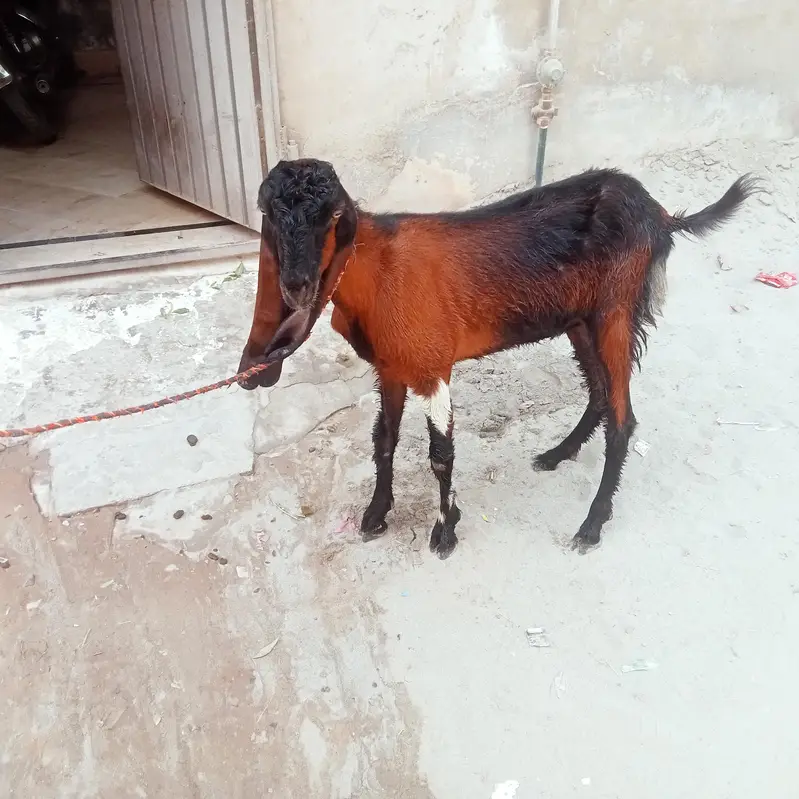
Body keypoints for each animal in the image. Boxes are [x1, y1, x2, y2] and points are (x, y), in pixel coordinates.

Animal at [238, 159, 757, 558]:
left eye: (330, 216)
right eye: (270, 214)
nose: (297, 286)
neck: (377, 269)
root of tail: (661, 215)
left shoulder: (432, 367)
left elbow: (441, 455)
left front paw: (445, 531)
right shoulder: (390, 367)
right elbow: (383, 440)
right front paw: (375, 514)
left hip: (617, 311)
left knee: (623, 418)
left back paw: (591, 525)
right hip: (580, 320)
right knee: (599, 392)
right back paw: (557, 454)